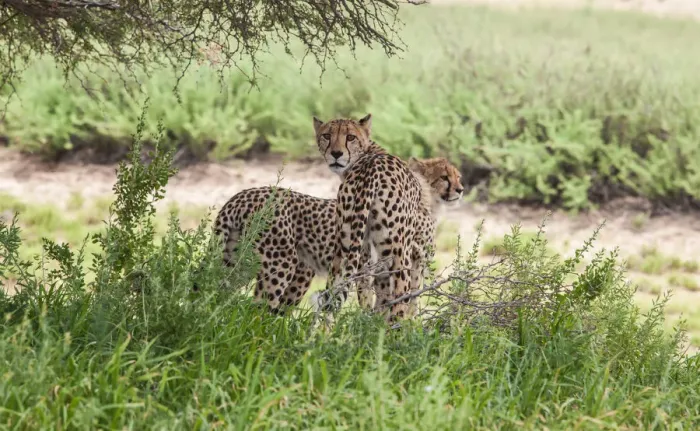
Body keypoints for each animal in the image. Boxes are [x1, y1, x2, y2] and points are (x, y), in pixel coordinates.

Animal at [209, 157, 462, 314]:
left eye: (457, 176)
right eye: (444, 177)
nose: (460, 189)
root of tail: (241, 195)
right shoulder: (384, 265)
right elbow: (393, 304)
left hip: (237, 260)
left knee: (217, 290)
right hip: (282, 264)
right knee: (261, 307)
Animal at [311, 113, 463, 321]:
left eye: (350, 137)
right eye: (327, 135)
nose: (460, 189)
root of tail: (370, 171)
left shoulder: (371, 258)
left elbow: (378, 298)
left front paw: (374, 323)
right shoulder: (418, 256)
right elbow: (413, 297)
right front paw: (413, 323)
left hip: (345, 246)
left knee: (337, 293)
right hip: (399, 254)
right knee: (399, 299)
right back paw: (397, 328)